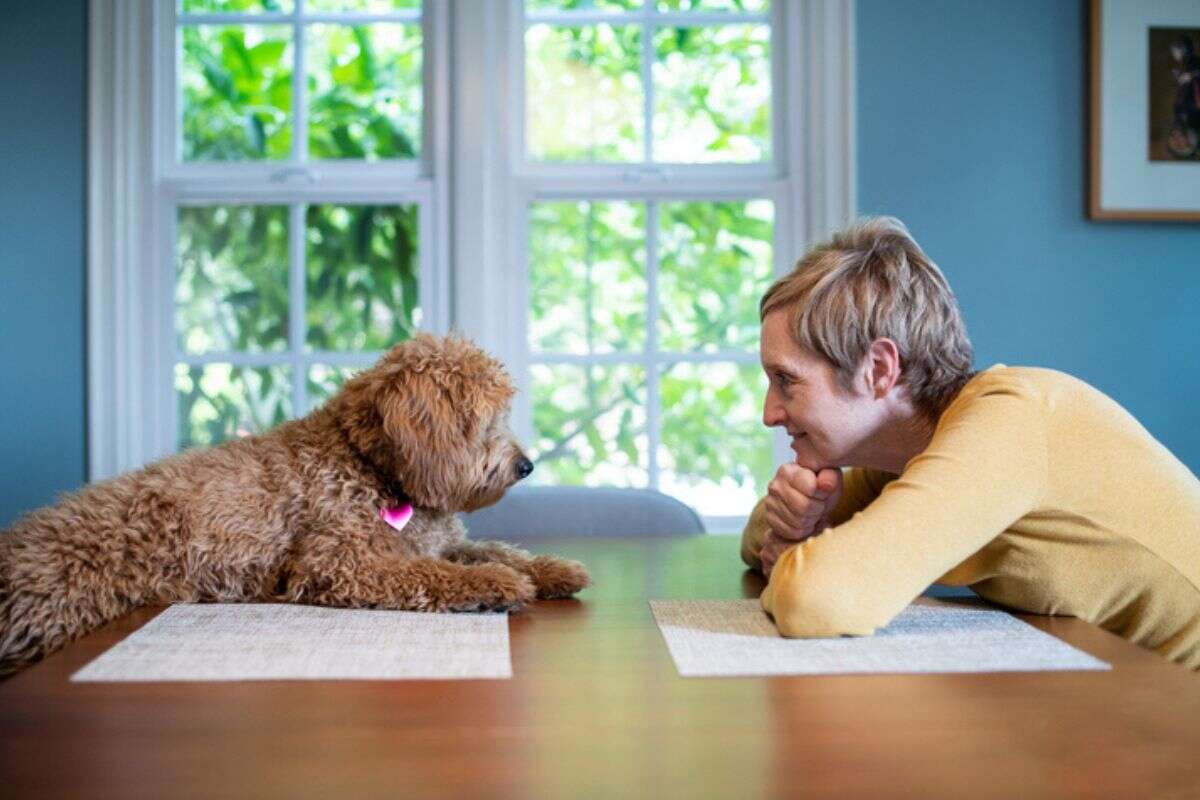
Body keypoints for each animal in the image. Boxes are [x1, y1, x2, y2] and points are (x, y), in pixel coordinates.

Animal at [0, 335, 590, 681]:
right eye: (484, 420)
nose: (527, 465)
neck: (370, 466)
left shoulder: (441, 542)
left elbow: (497, 549)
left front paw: (555, 569)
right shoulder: (341, 563)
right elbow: (436, 575)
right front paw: (498, 585)